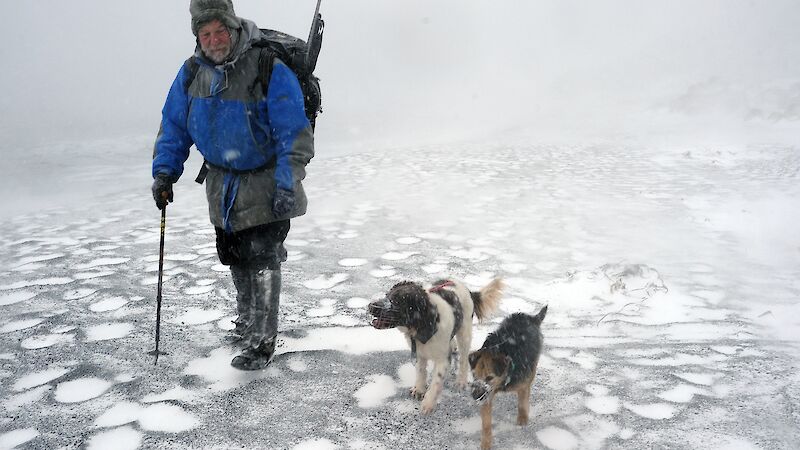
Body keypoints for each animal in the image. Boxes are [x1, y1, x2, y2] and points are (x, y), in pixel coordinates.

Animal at [466, 306, 548, 450]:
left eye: (489, 377)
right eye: (474, 375)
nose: (475, 396)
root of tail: (530, 318)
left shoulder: (522, 384)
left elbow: (522, 402)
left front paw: (522, 418)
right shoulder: (487, 394)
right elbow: (486, 422)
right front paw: (486, 442)